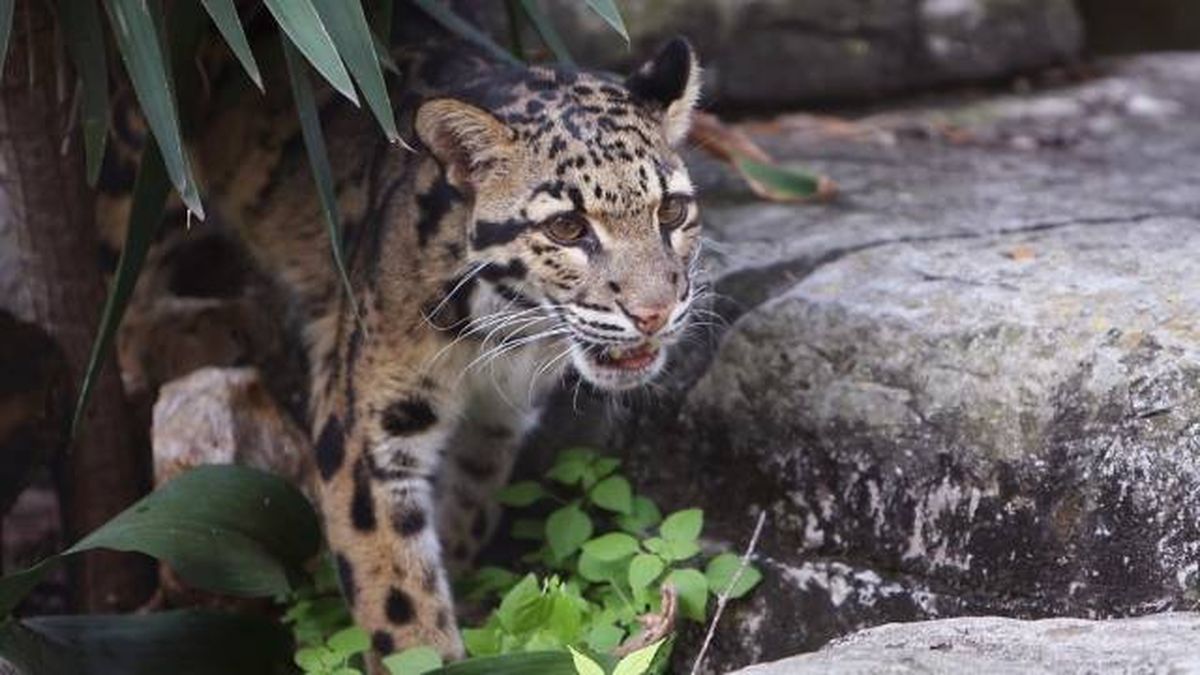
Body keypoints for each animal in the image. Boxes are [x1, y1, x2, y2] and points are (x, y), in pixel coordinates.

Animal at [128, 30, 703, 664]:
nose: (653, 313)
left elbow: (466, 511)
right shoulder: (363, 436)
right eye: (567, 228)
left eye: (672, 211)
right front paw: (431, 654)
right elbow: (399, 599)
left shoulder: (498, 421)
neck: (504, 330)